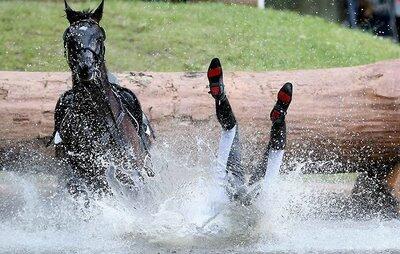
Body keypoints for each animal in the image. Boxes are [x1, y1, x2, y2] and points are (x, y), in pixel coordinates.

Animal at [49, 0, 155, 197]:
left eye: (99, 37)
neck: (93, 116)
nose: (86, 68)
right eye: (70, 39)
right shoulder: (85, 176)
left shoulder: (130, 170)